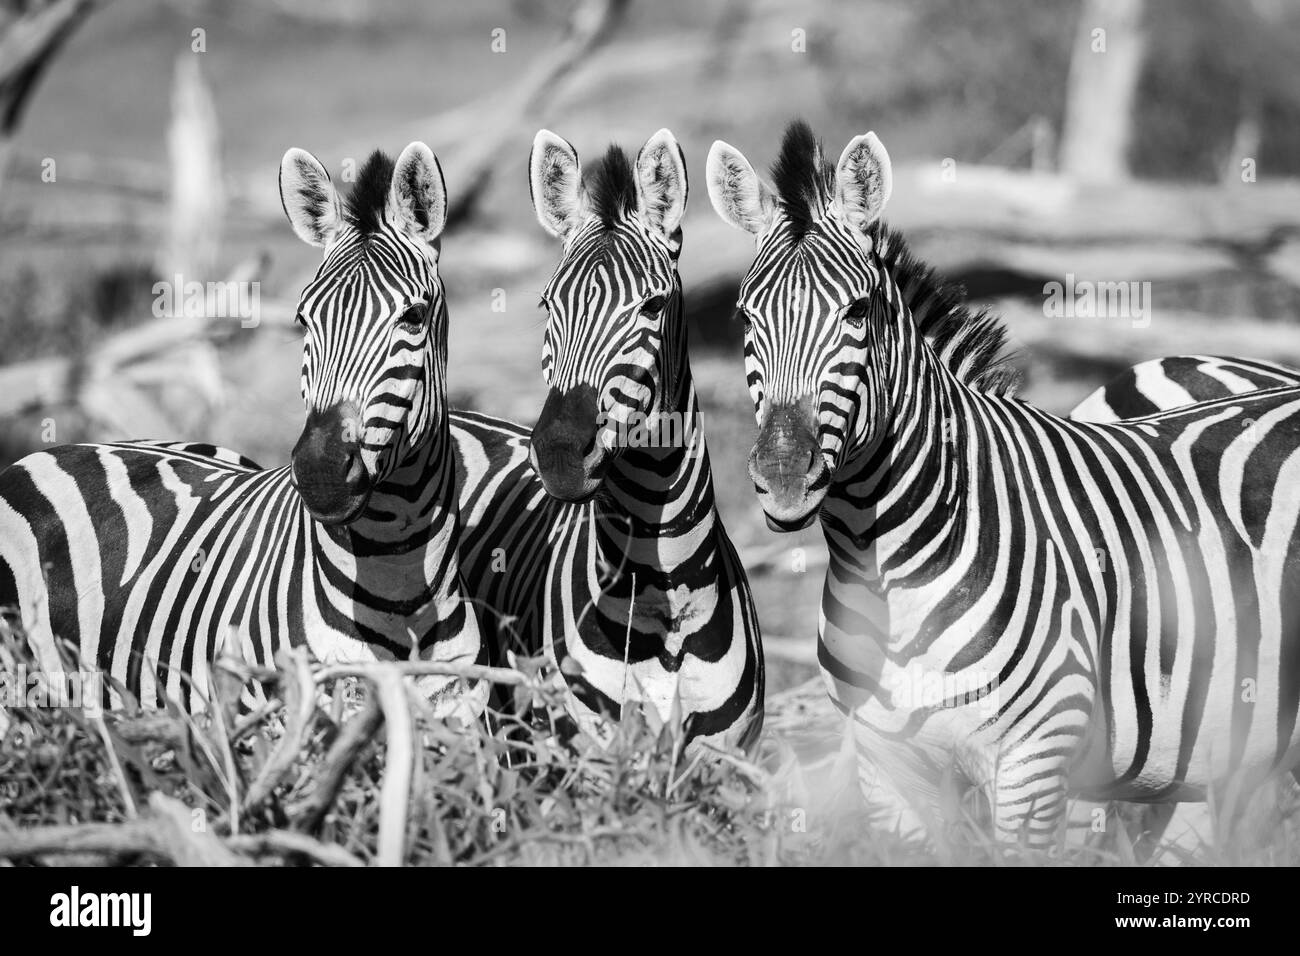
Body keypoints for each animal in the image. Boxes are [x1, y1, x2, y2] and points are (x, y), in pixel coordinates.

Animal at [705, 120, 1300, 845]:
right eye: (744, 317)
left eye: (858, 313)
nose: (785, 479)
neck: (887, 568)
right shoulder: (888, 770)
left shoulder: (1035, 765)